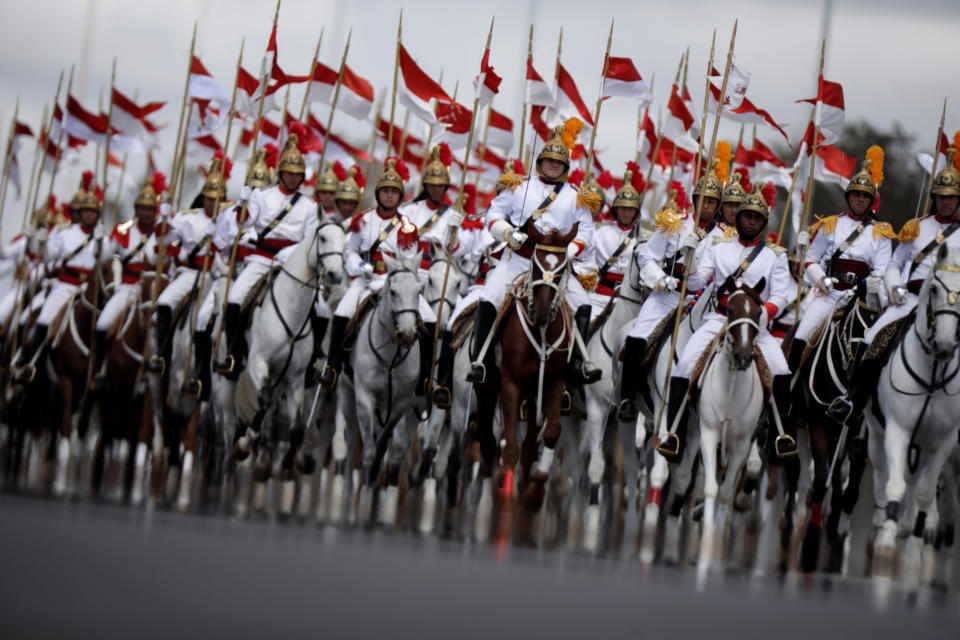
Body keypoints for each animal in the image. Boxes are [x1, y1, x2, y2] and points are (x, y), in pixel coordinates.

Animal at [328, 252, 422, 528]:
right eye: (393, 291)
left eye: (418, 291)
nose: (408, 334)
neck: (391, 355)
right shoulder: (365, 397)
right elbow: (369, 448)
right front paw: (366, 491)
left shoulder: (399, 404)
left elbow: (382, 447)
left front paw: (374, 484)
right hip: (347, 394)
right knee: (350, 438)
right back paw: (348, 486)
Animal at [496, 225, 576, 536]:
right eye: (535, 264)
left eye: (563, 268)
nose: (540, 314)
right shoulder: (510, 384)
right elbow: (511, 445)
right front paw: (506, 495)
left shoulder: (552, 384)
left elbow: (551, 432)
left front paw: (538, 485)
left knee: (531, 444)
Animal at [868, 242, 960, 584]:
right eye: (933, 289)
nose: (945, 343)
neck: (933, 372)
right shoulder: (898, 429)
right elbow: (896, 484)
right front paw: (888, 536)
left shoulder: (942, 443)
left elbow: (922, 493)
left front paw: (917, 533)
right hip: (875, 431)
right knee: (882, 473)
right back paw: (882, 518)